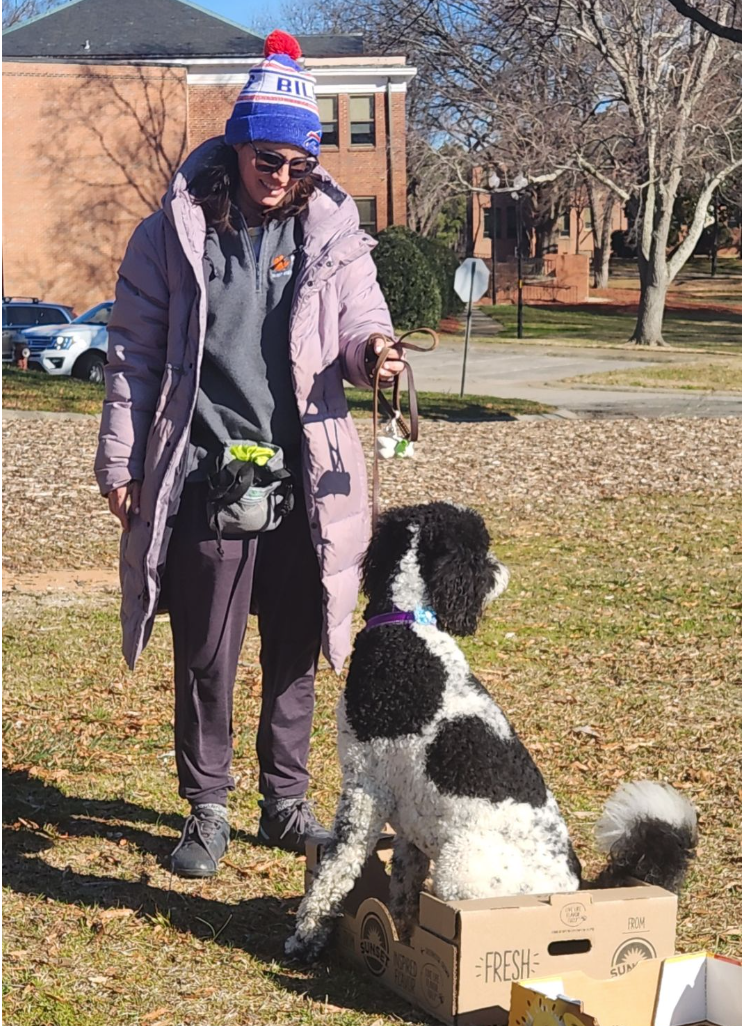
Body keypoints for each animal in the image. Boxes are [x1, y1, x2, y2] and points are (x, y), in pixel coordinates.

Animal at [285, 502, 697, 960]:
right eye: (480, 552)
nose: (502, 573)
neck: (406, 630)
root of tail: (575, 892)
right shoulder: (408, 825)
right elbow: (403, 889)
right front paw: (403, 938)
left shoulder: (364, 790)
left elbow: (335, 870)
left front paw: (306, 935)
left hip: (458, 868)